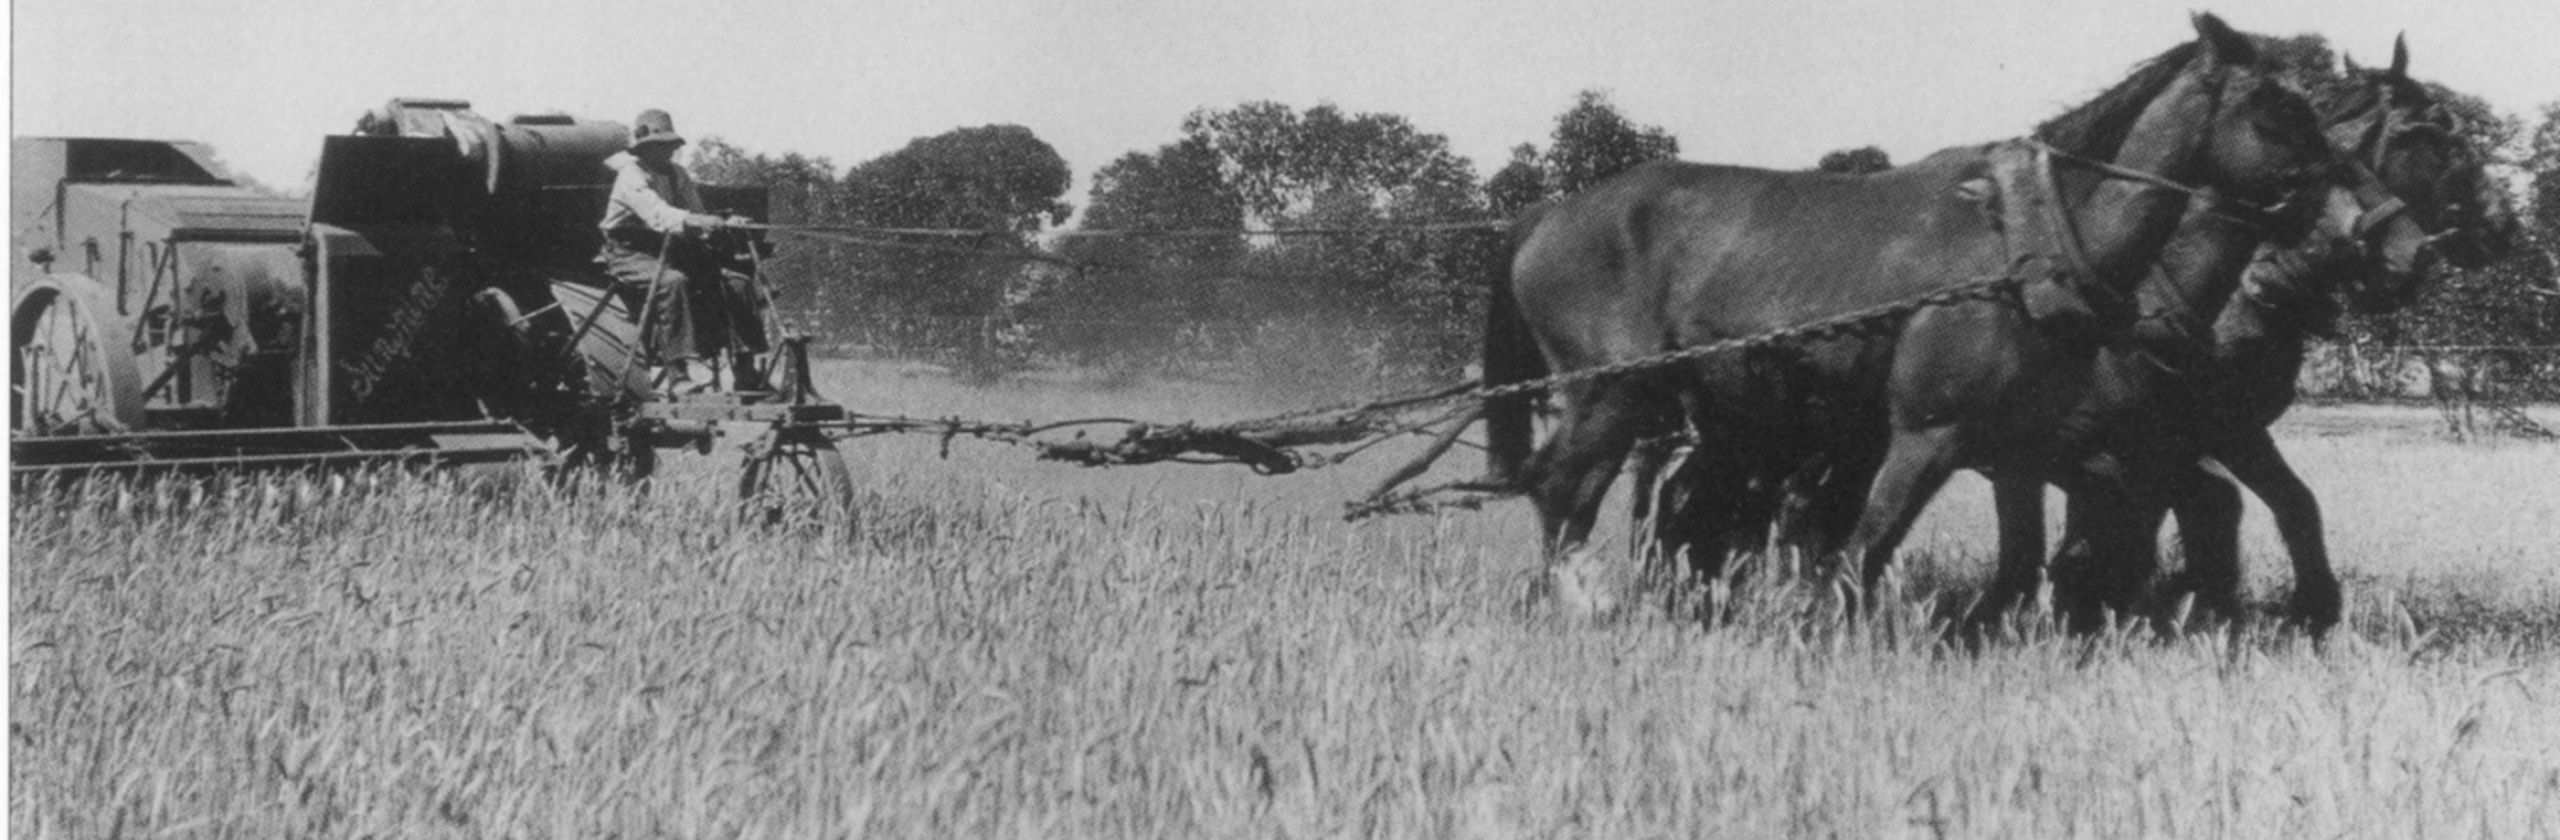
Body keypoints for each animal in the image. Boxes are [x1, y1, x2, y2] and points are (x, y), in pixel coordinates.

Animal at [1481, 14, 2354, 620]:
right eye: (2272, 110)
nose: (2351, 213)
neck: (2028, 244)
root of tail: (1546, 213)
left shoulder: (2035, 442)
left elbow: (2048, 549)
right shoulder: (1931, 430)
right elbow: (1869, 542)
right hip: (1613, 393)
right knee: (1563, 487)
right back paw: (1585, 604)